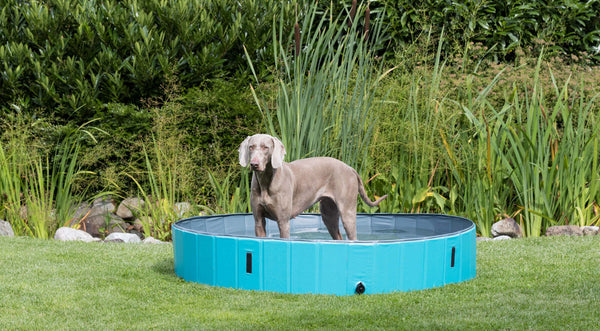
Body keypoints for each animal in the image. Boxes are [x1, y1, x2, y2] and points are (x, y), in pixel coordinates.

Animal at [237, 134, 386, 240]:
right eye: (251, 147)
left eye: (265, 147)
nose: (254, 164)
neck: (265, 182)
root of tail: (350, 168)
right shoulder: (258, 221)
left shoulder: (283, 221)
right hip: (328, 213)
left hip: (347, 212)